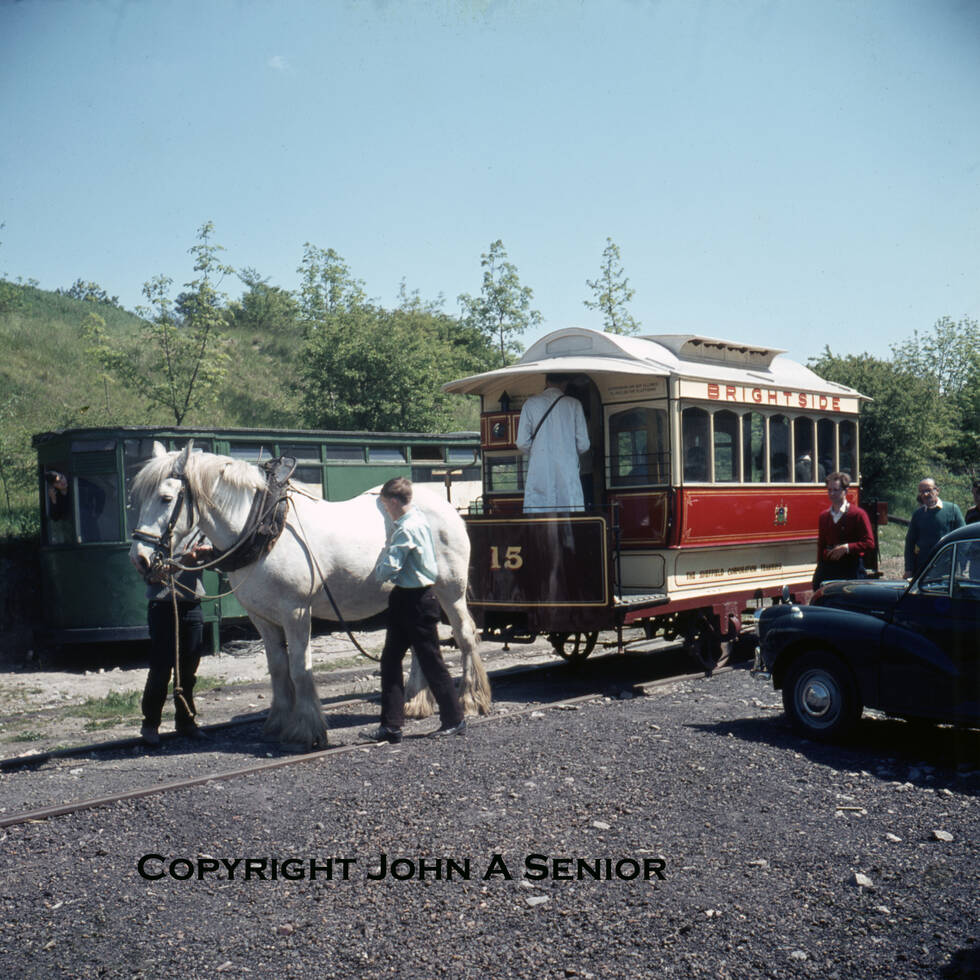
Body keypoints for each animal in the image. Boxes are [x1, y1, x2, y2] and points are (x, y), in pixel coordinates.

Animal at [132, 444, 490, 752]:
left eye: (165, 498)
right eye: (136, 498)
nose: (141, 559)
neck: (265, 528)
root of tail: (446, 507)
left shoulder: (295, 612)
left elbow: (299, 668)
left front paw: (306, 730)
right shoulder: (261, 617)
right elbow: (277, 668)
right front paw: (277, 723)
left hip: (451, 590)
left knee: (465, 635)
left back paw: (471, 700)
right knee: (419, 643)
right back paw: (416, 702)